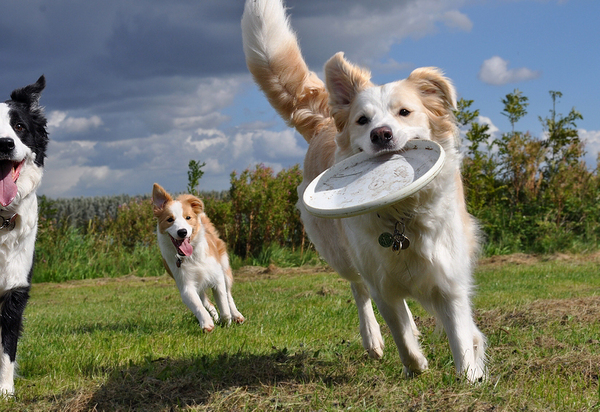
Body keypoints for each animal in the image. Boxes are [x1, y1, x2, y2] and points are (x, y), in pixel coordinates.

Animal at [241, 0, 486, 384]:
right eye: (362, 120)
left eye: (404, 112)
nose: (381, 134)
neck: (403, 215)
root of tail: (325, 122)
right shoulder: (380, 280)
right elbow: (399, 332)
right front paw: (416, 365)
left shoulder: (448, 277)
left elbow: (460, 332)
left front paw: (471, 374)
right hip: (340, 254)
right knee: (359, 290)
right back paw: (372, 339)